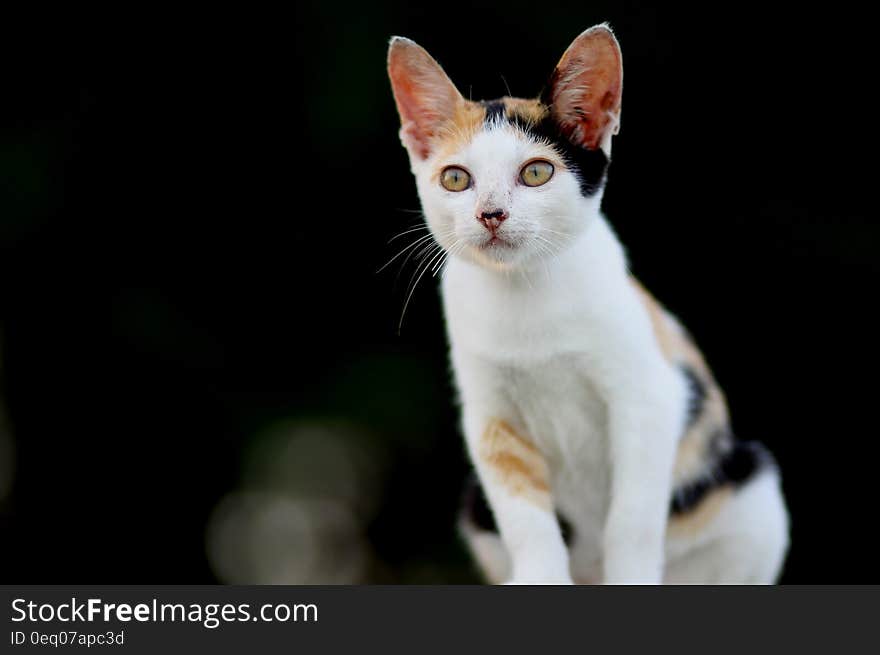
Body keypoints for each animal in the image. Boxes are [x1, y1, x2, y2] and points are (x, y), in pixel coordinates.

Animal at [388, 24, 788, 584]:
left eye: (536, 173)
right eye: (455, 179)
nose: (491, 213)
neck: (525, 292)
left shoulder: (649, 397)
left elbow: (633, 516)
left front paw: (631, 575)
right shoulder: (492, 423)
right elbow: (526, 520)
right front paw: (539, 576)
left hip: (750, 487)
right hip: (474, 506)